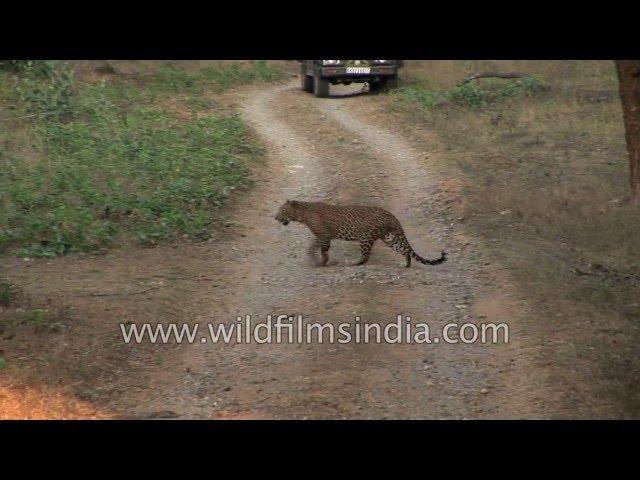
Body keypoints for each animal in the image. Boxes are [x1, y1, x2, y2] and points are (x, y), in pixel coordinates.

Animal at [272, 199, 448, 266]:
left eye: (282, 210)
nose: (275, 217)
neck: (301, 214)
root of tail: (390, 214)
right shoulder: (326, 238)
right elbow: (324, 251)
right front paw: (324, 262)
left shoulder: (322, 235)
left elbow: (312, 248)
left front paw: (315, 261)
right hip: (388, 237)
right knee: (404, 249)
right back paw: (406, 264)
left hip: (366, 236)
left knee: (366, 256)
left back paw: (354, 263)